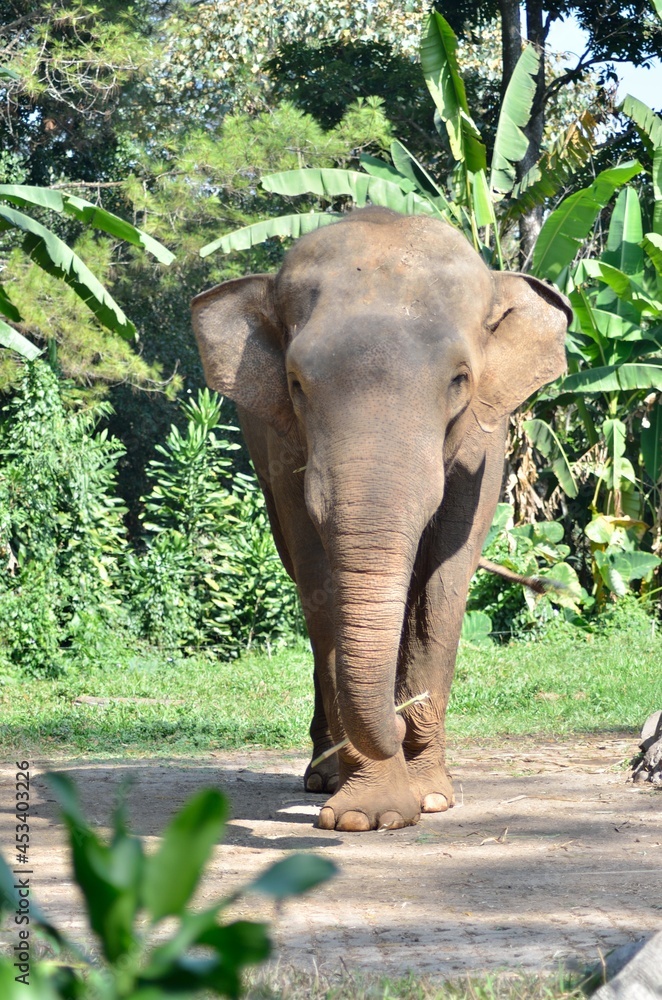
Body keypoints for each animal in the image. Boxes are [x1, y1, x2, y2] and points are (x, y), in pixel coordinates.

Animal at [192, 207, 572, 832]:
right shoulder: (281, 446)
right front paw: (363, 815)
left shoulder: (485, 441)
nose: (398, 720)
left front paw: (431, 797)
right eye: (296, 384)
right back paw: (324, 776)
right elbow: (319, 579)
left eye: (460, 380)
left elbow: (445, 580)